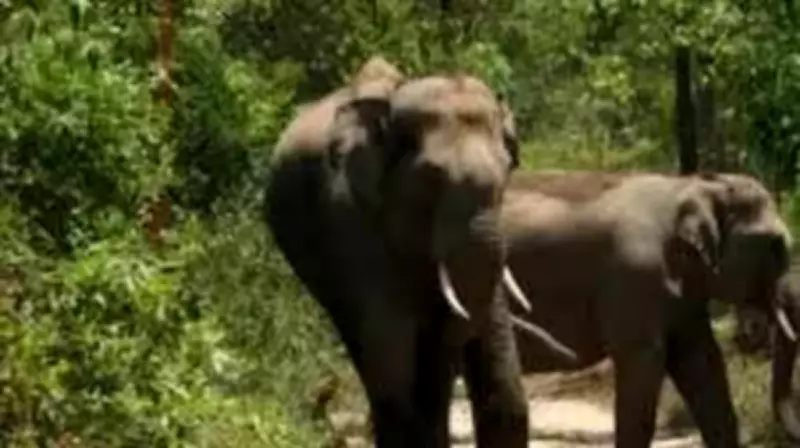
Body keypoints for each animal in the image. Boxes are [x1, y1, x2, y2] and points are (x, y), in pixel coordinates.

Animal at [499, 170, 795, 447]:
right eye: (776, 245)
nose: (750, 333)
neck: (692, 185)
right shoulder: (636, 277)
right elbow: (644, 362)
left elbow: (703, 361)